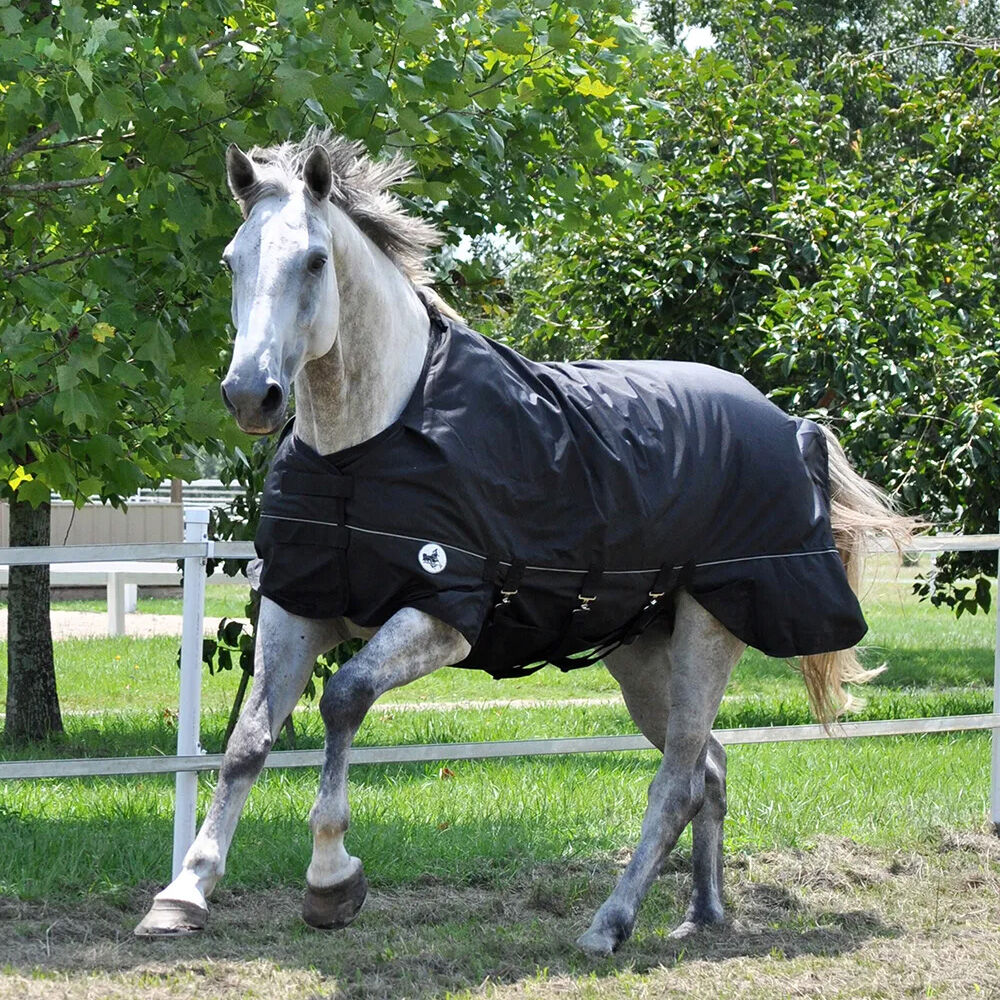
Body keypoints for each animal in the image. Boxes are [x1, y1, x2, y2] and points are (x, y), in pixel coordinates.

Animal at [134, 130, 912, 954]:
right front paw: (183, 894)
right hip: (644, 657)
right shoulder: (298, 606)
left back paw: (608, 926)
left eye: (314, 260)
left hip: (710, 633)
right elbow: (248, 740)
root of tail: (791, 425)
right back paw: (701, 913)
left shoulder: (442, 612)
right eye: (232, 260)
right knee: (709, 768)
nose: (252, 395)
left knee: (675, 781)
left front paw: (331, 881)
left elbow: (343, 699)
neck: (364, 446)